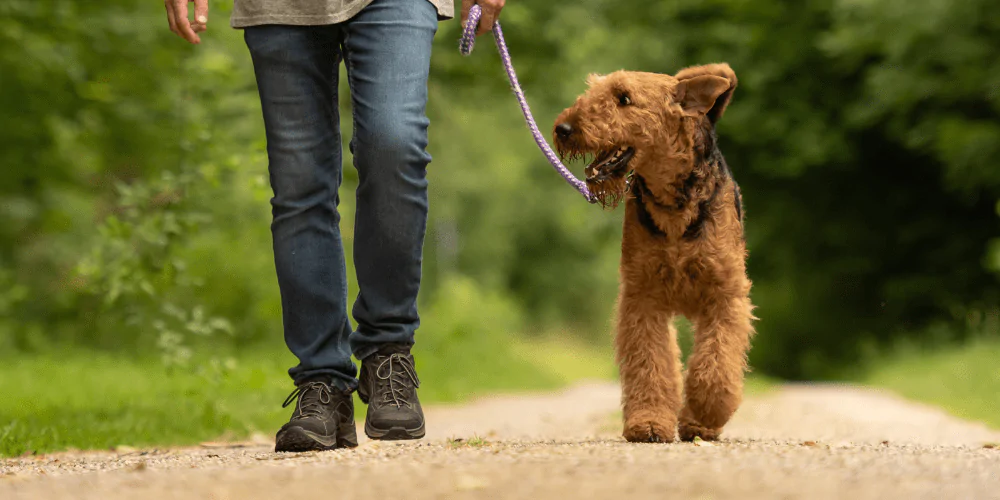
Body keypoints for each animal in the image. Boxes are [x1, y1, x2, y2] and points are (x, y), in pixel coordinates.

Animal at [552, 64, 752, 444]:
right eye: (594, 90)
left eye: (624, 98)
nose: (563, 128)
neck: (673, 205)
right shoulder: (642, 296)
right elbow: (650, 364)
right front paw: (647, 423)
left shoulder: (725, 295)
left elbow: (715, 365)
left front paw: (704, 414)